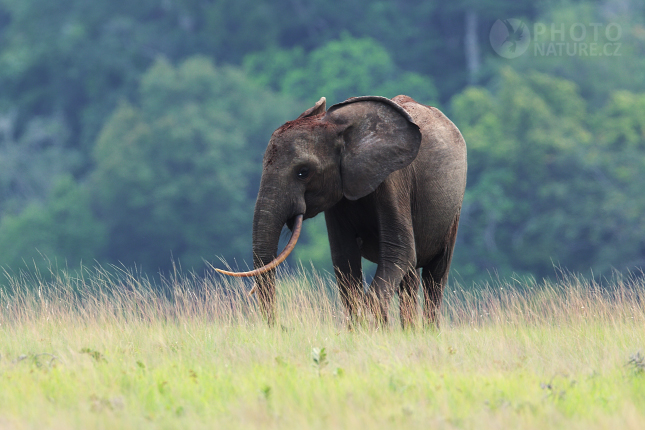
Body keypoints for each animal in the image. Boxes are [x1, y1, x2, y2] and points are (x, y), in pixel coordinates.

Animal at [219, 95, 466, 330]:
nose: (280, 328)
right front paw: (360, 331)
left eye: (303, 172)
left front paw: (370, 329)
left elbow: (399, 252)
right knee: (410, 277)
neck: (339, 128)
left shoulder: (393, 181)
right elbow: (345, 258)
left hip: (454, 208)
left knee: (435, 276)